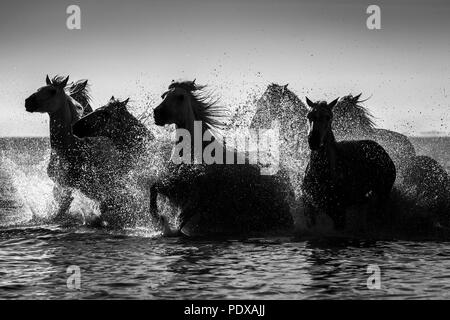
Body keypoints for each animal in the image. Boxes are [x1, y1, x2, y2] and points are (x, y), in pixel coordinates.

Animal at [149, 79, 294, 236]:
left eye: (180, 97)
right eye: (164, 96)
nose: (157, 114)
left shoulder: (198, 196)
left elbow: (182, 218)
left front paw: (168, 226)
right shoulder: (174, 188)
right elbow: (153, 188)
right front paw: (158, 219)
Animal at [300, 97, 396, 230]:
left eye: (328, 117)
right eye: (308, 116)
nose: (313, 141)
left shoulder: (339, 212)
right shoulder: (310, 210)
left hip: (383, 194)